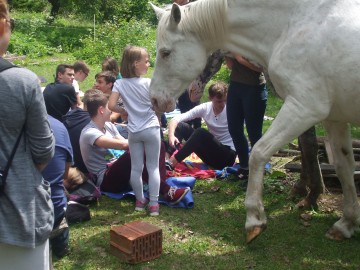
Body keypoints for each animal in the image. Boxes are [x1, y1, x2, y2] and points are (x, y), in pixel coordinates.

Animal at [150, 0, 360, 244]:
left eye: (165, 53)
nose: (154, 99)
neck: (291, 25)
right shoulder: (334, 119)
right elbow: (343, 167)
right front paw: (346, 223)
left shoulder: (304, 108)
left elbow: (259, 152)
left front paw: (255, 219)